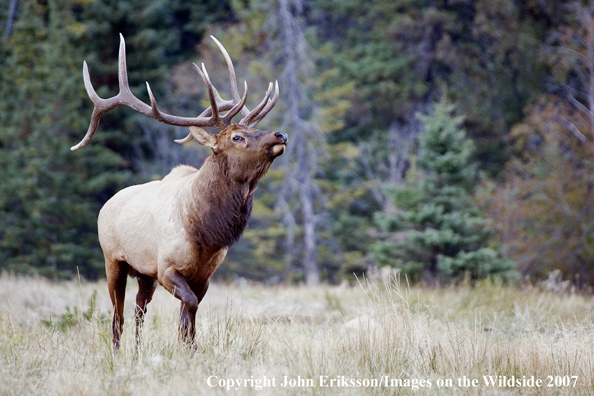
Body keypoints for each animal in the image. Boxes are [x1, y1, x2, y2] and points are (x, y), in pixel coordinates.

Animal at [73, 34, 286, 350]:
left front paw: (189, 350)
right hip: (113, 260)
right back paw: (117, 351)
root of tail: (106, 204)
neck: (205, 232)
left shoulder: (203, 276)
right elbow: (190, 307)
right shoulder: (166, 268)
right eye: (237, 137)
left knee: (139, 309)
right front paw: (188, 349)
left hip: (143, 273)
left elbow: (188, 317)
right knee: (117, 314)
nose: (280, 135)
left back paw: (137, 350)